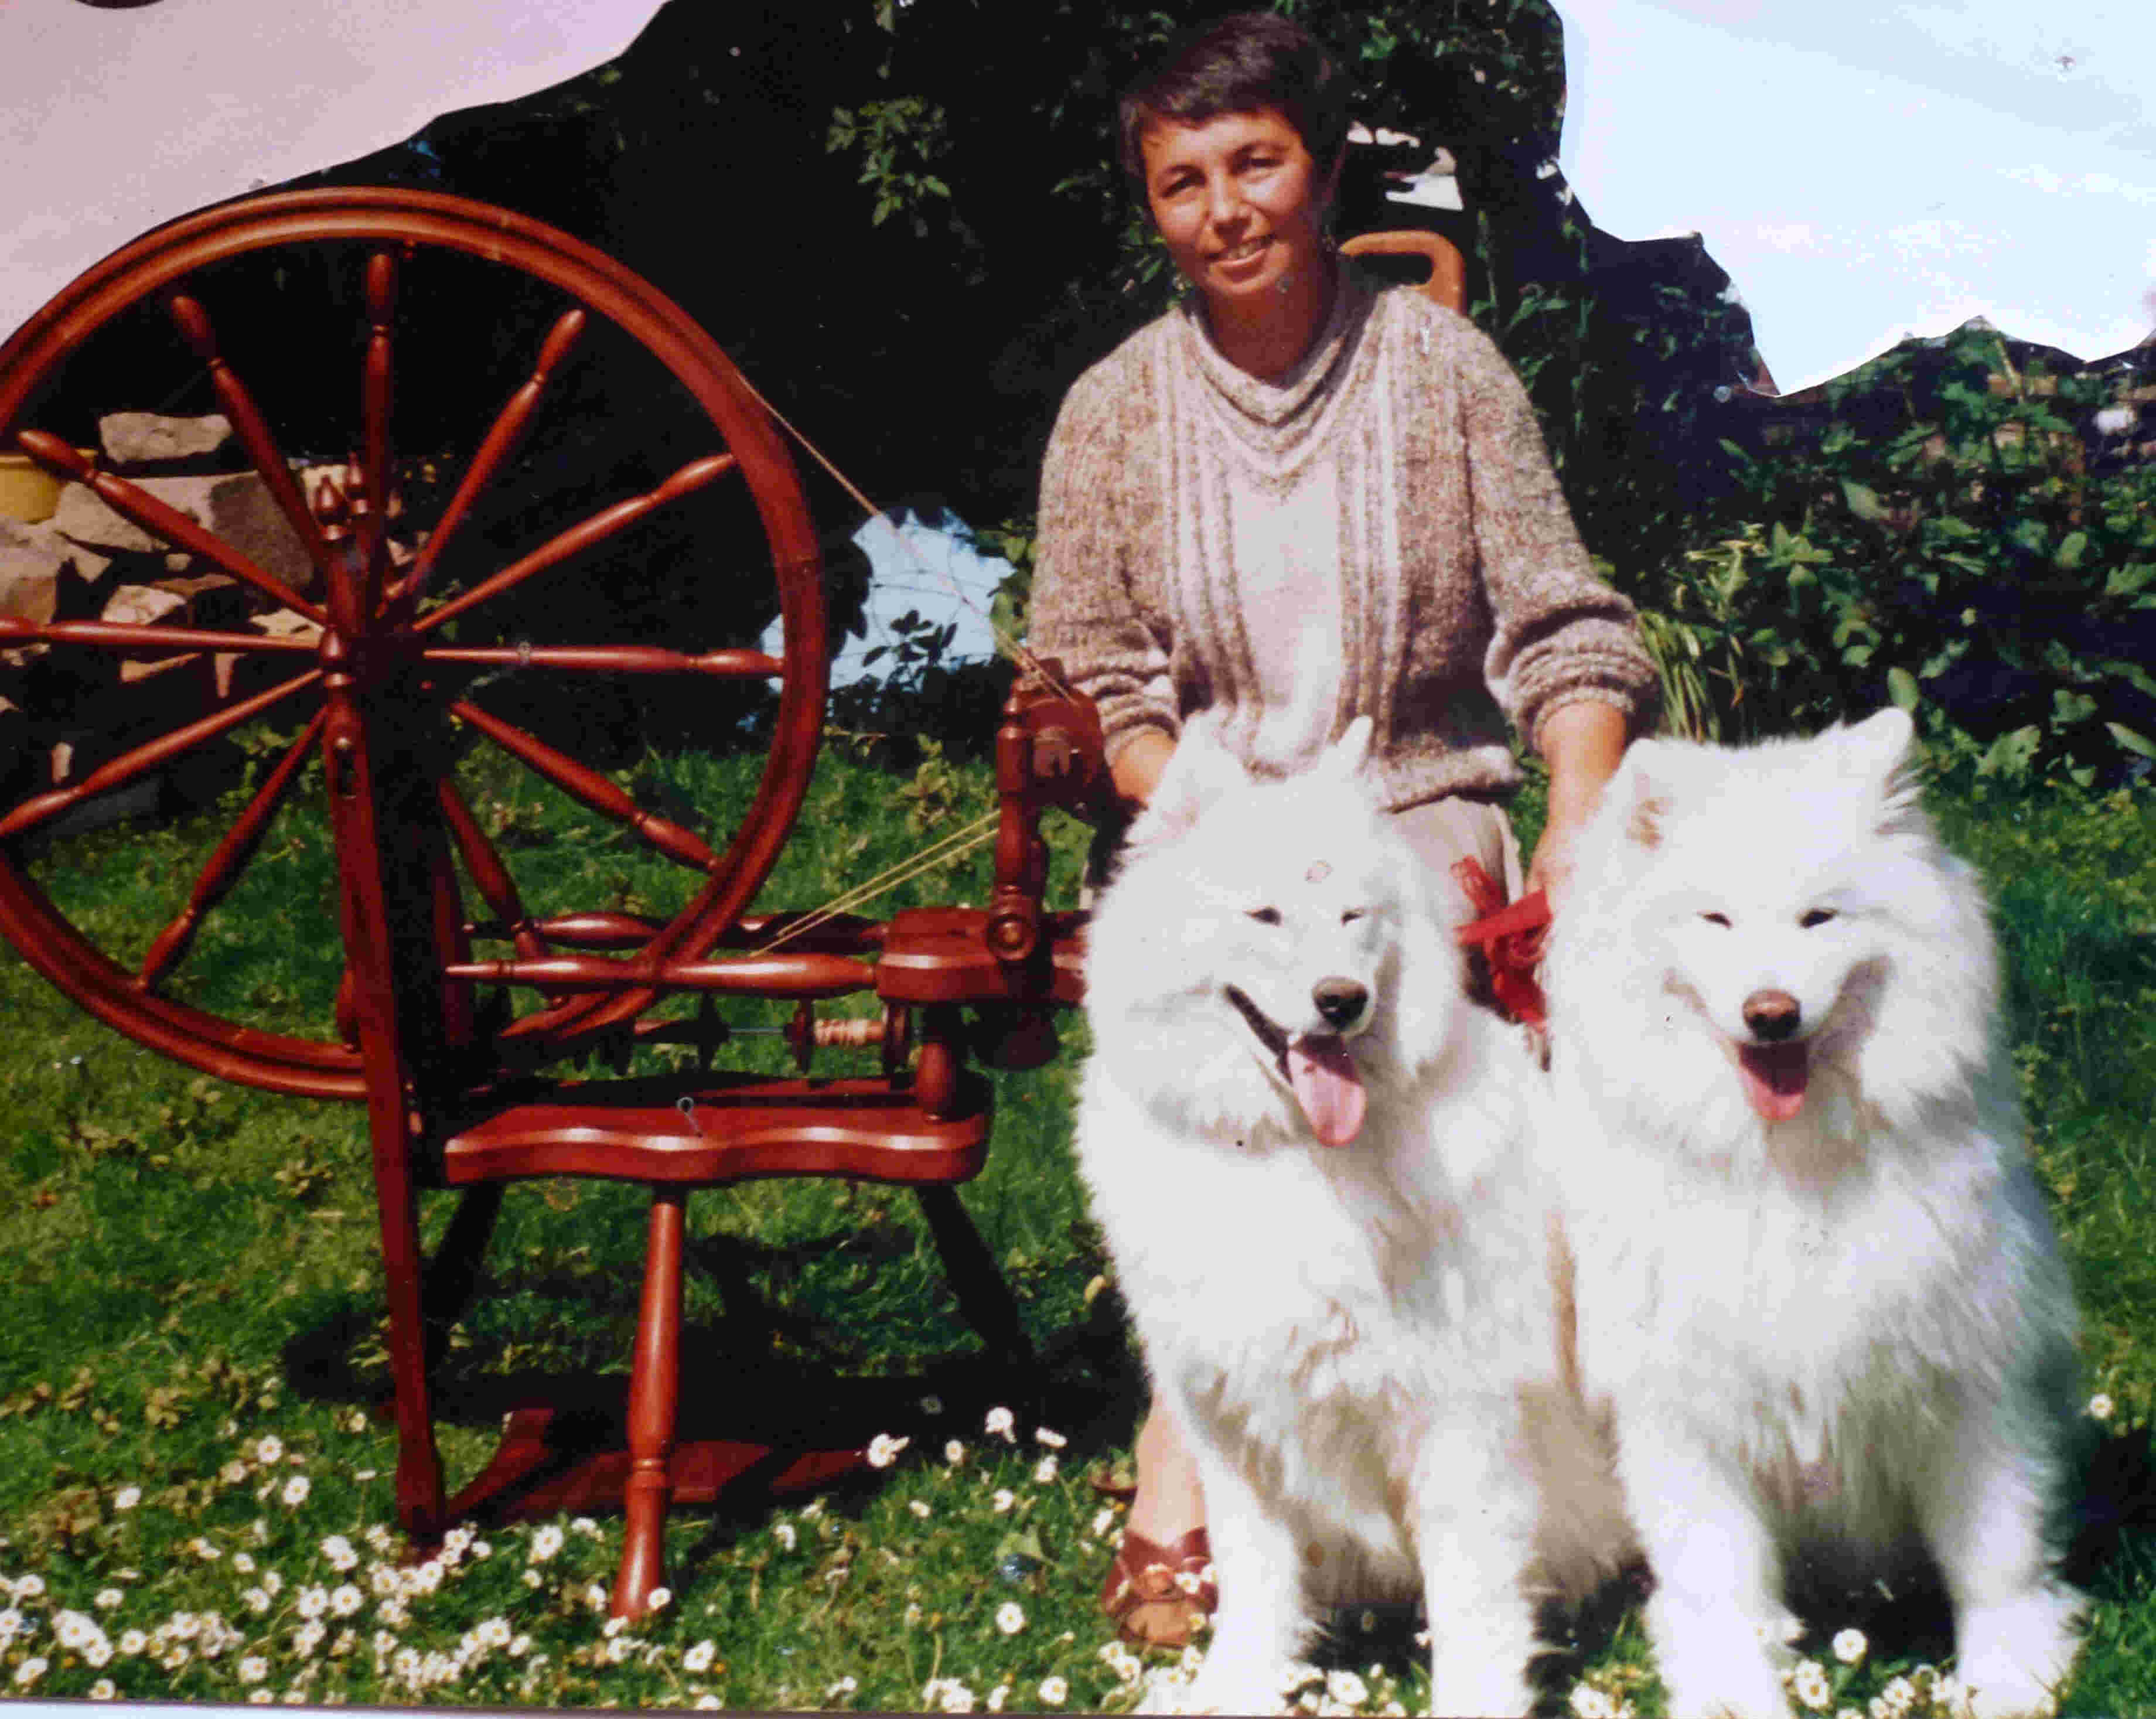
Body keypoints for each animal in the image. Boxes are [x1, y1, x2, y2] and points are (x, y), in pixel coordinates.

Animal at [1078, 716, 1621, 1708]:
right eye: (1264, 916)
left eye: (1352, 917)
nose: (1343, 1000)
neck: (1289, 1155)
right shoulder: (1237, 1432)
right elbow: (1255, 1585)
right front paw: (1237, 1690)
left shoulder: (1459, 1427)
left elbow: (1473, 1606)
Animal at [1552, 711, 2087, 1717]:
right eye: (1716, 920)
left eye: (1819, 919)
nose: (1772, 1013)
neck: (1786, 1170)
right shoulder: (1690, 1411)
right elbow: (1718, 1581)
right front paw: (1732, 1690)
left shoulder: (1967, 1377)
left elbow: (1997, 1553)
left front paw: (2009, 1674)